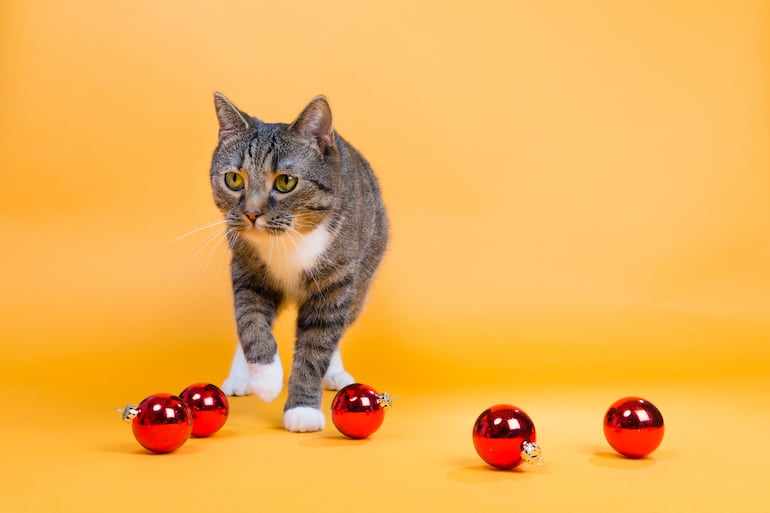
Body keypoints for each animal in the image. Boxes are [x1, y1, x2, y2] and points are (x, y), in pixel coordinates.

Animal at [208, 94, 388, 430]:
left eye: (286, 182)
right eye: (234, 179)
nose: (251, 213)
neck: (287, 242)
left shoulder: (337, 282)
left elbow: (317, 343)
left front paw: (302, 410)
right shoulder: (247, 269)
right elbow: (251, 322)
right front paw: (265, 378)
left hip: (364, 275)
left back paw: (335, 373)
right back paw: (241, 378)